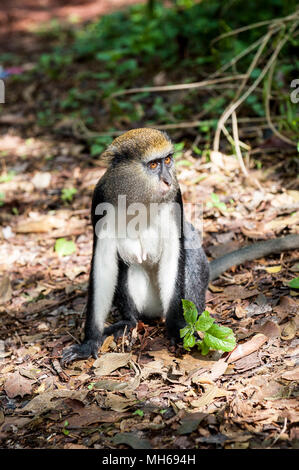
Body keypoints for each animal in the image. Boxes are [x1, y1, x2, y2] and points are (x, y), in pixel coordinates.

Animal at [62, 127, 299, 364]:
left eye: (167, 160)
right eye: (154, 165)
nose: (168, 180)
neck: (138, 198)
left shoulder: (175, 198)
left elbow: (174, 254)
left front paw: (177, 330)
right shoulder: (101, 199)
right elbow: (103, 265)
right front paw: (89, 342)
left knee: (190, 256)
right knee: (127, 266)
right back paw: (129, 321)